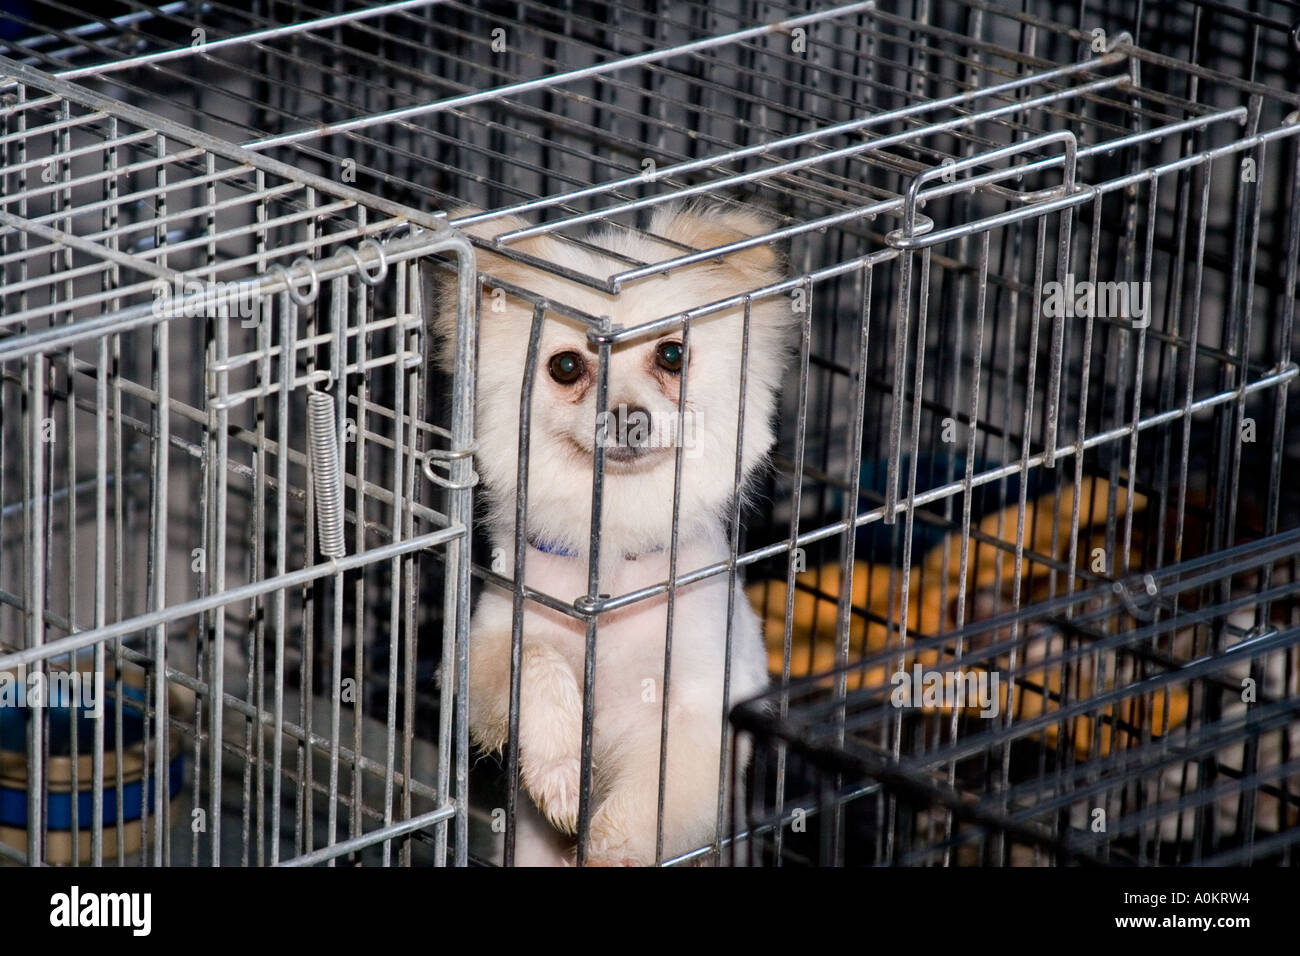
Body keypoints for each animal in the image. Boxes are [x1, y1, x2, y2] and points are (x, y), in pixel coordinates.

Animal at [439, 201, 790, 868]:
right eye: (565, 366)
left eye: (673, 355)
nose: (628, 418)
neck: (614, 567)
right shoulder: (485, 656)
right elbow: (536, 664)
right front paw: (558, 773)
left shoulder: (700, 719)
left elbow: (641, 810)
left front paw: (601, 850)